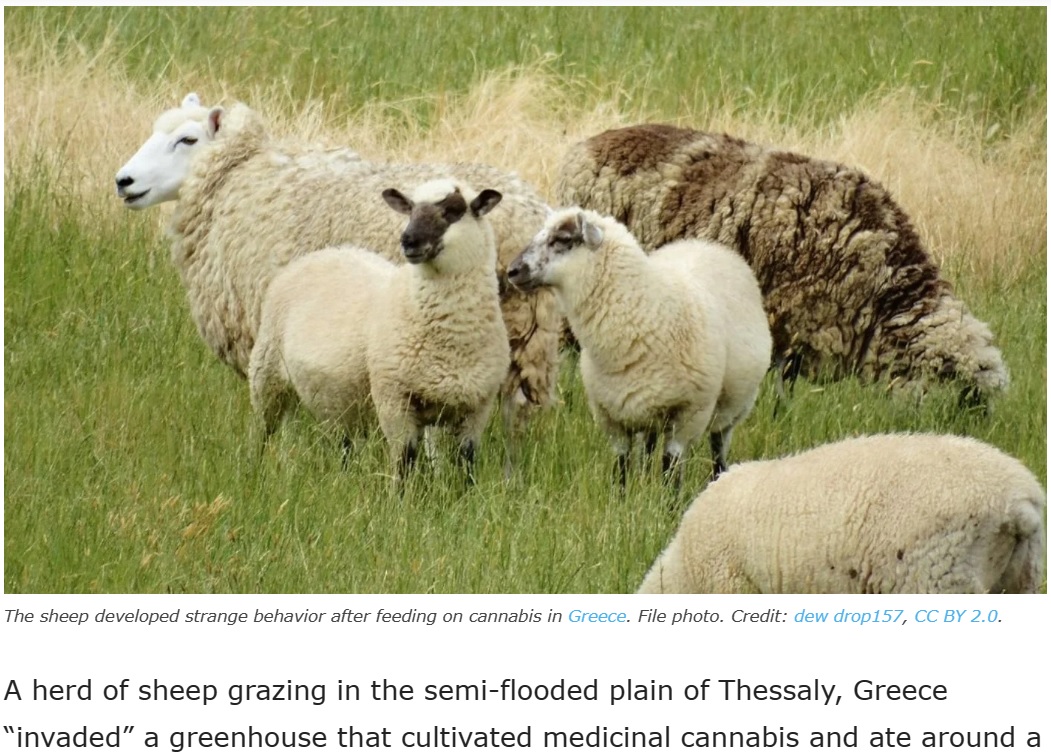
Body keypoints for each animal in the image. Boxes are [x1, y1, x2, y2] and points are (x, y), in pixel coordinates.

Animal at [504, 209, 769, 485]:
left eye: (563, 239)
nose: (512, 271)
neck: (644, 310)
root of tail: (706, 245)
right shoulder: (612, 417)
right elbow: (621, 469)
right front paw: (624, 494)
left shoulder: (688, 415)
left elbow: (671, 473)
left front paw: (666, 498)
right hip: (647, 411)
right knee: (648, 448)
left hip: (732, 407)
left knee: (718, 449)